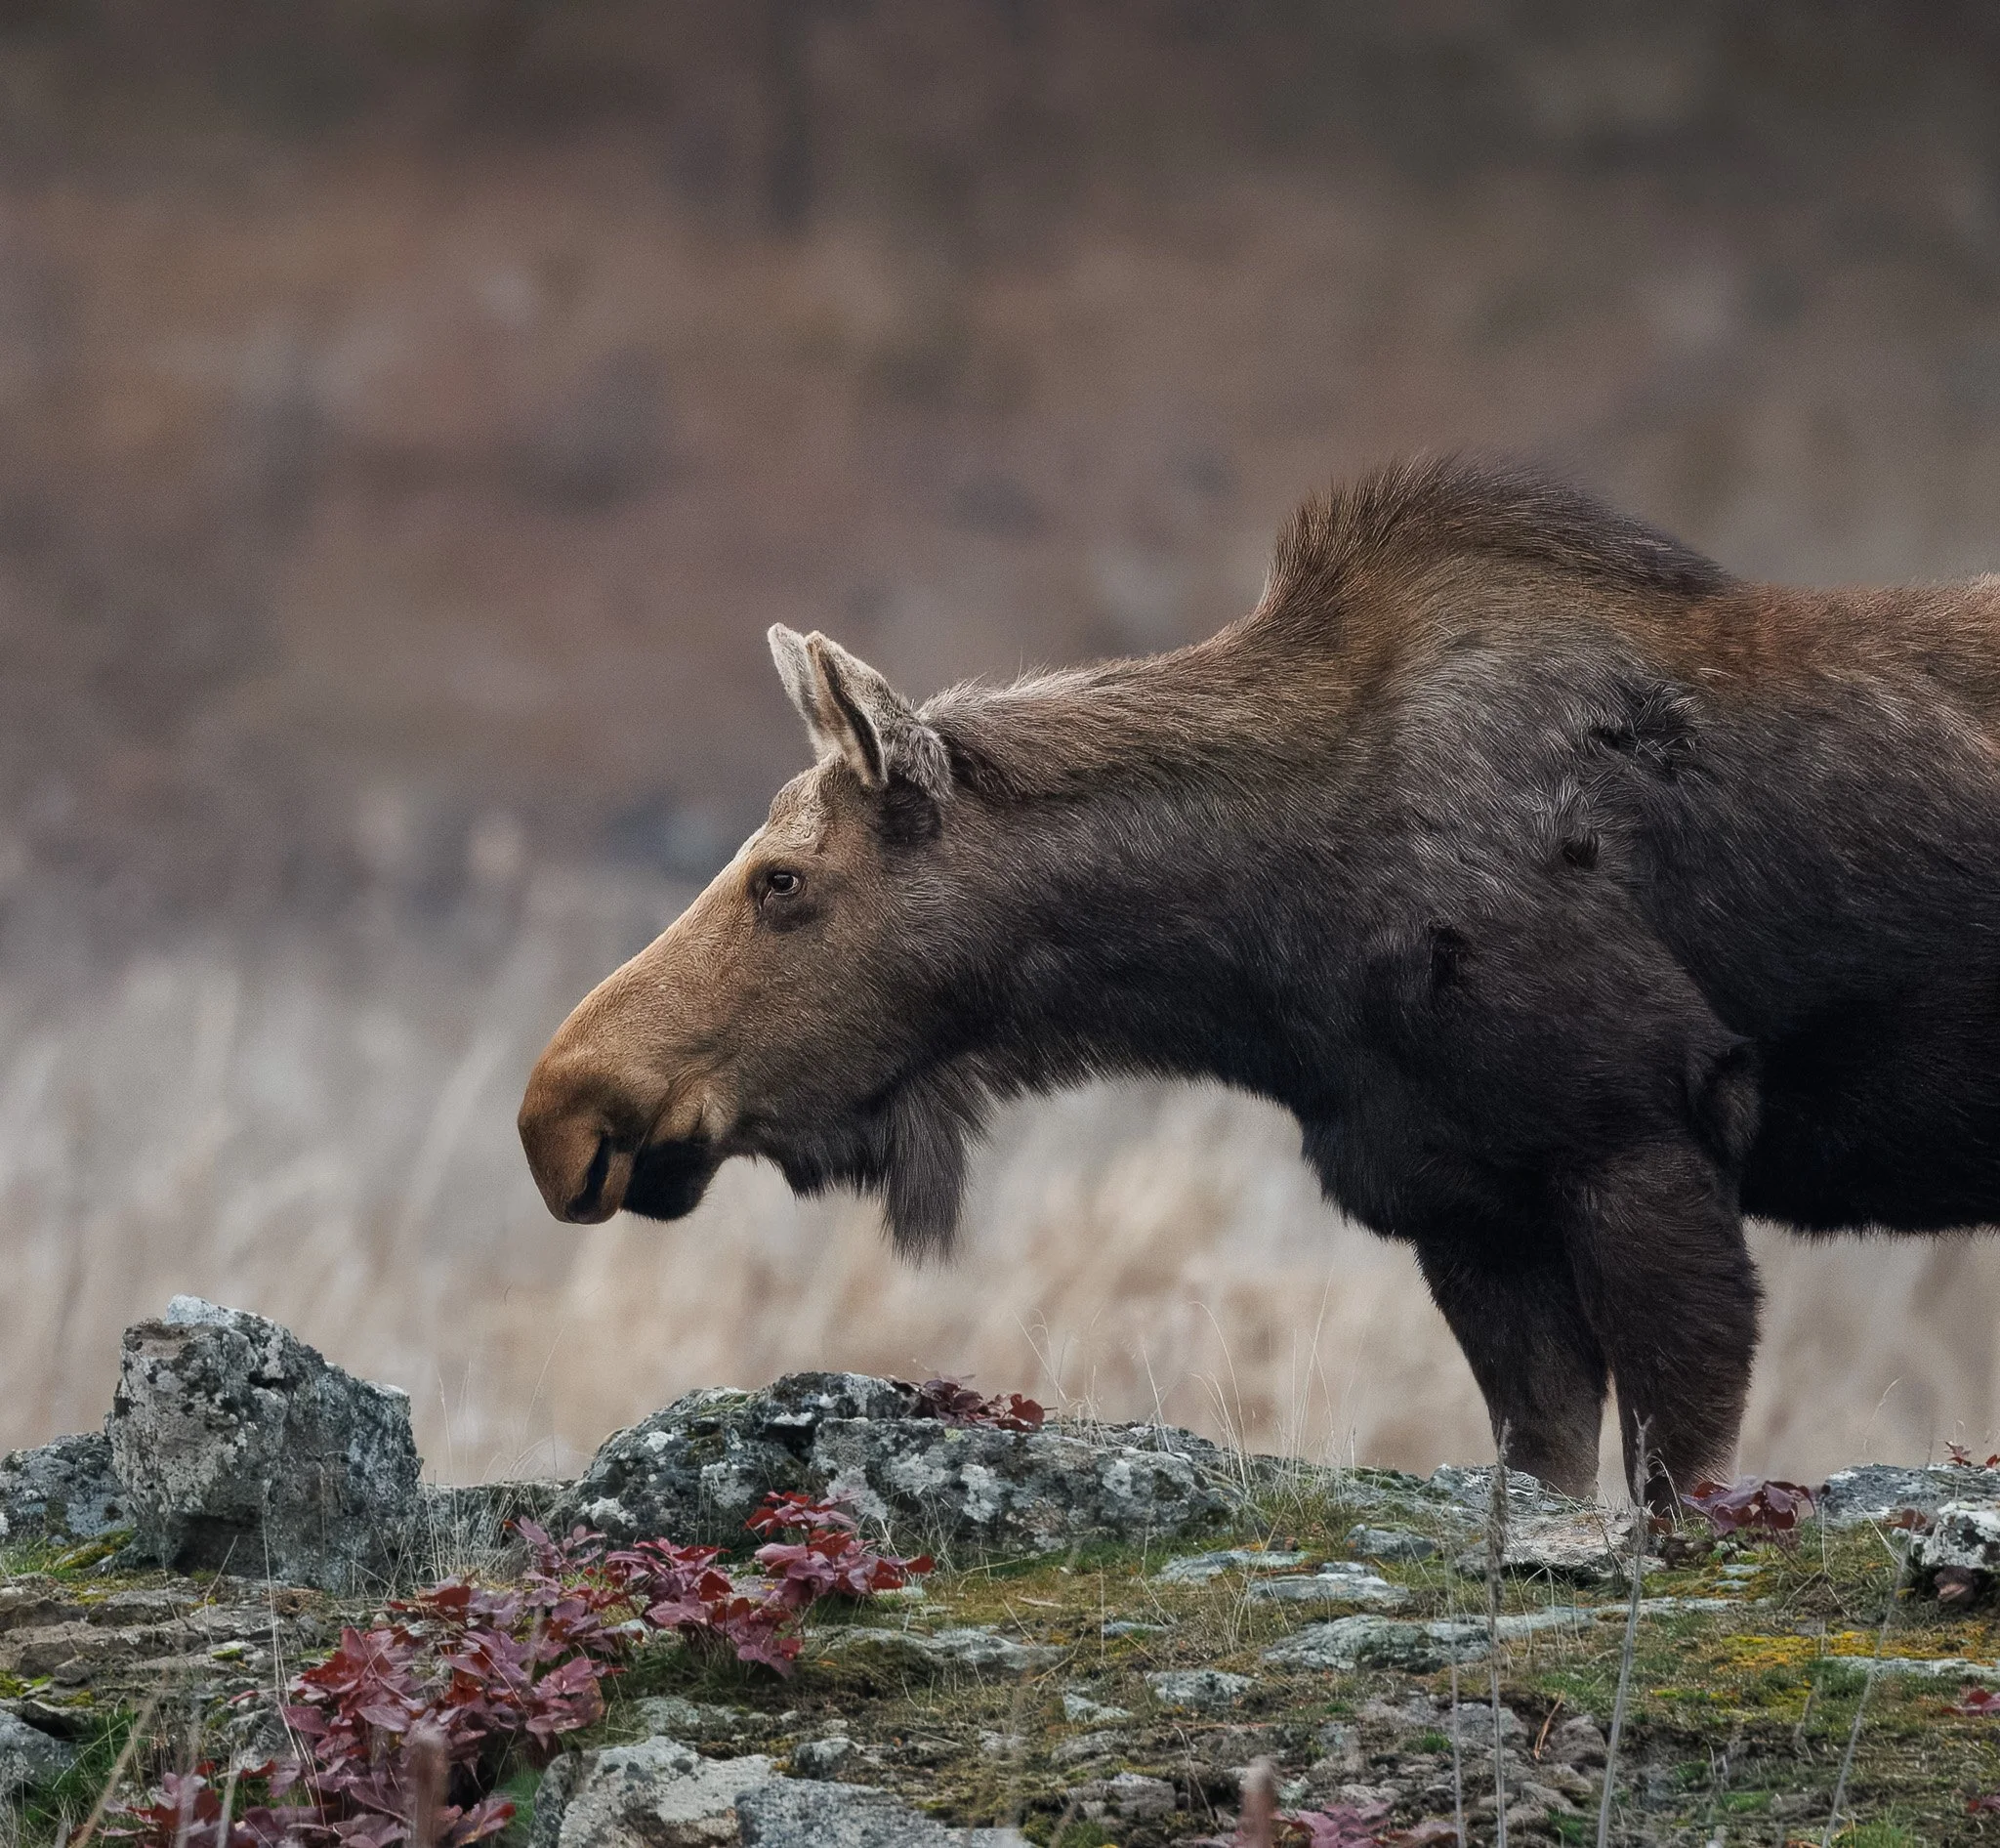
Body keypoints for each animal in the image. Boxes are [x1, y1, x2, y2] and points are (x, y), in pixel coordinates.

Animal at [519, 456, 2000, 1506]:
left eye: (781, 880)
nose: (560, 1109)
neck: (1268, 961)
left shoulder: (1639, 1139)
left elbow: (1678, 1486)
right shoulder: (1465, 1199)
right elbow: (1545, 1470)